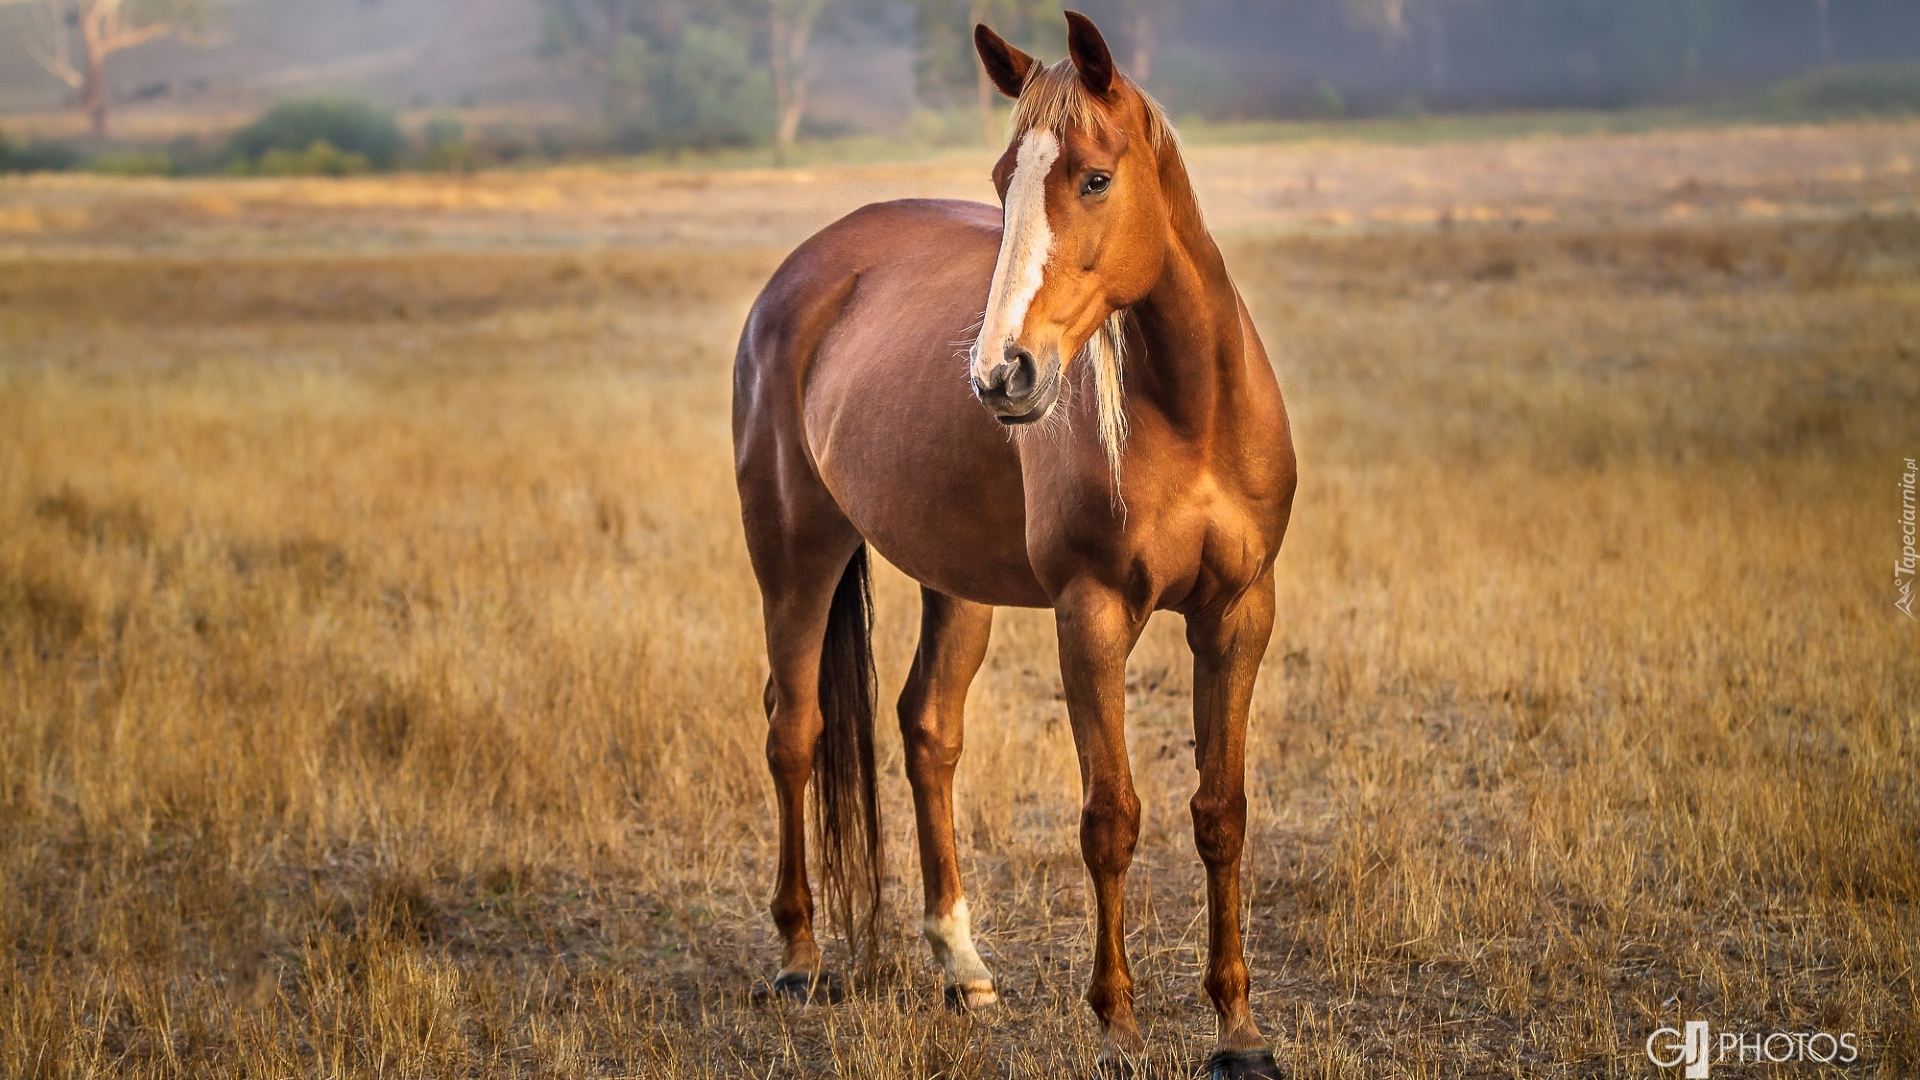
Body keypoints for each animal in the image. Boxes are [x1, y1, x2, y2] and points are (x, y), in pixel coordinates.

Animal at [725, 10, 1297, 1076]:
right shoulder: (1093, 616)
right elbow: (1110, 815)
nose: (1003, 374)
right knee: (795, 730)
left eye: (1096, 178)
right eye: (1002, 181)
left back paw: (963, 967)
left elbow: (1221, 813)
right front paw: (1117, 1024)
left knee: (927, 731)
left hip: (956, 583)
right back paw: (799, 959)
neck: (1190, 411)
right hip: (796, 554)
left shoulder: (1239, 615)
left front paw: (1239, 1032)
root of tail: (803, 275)